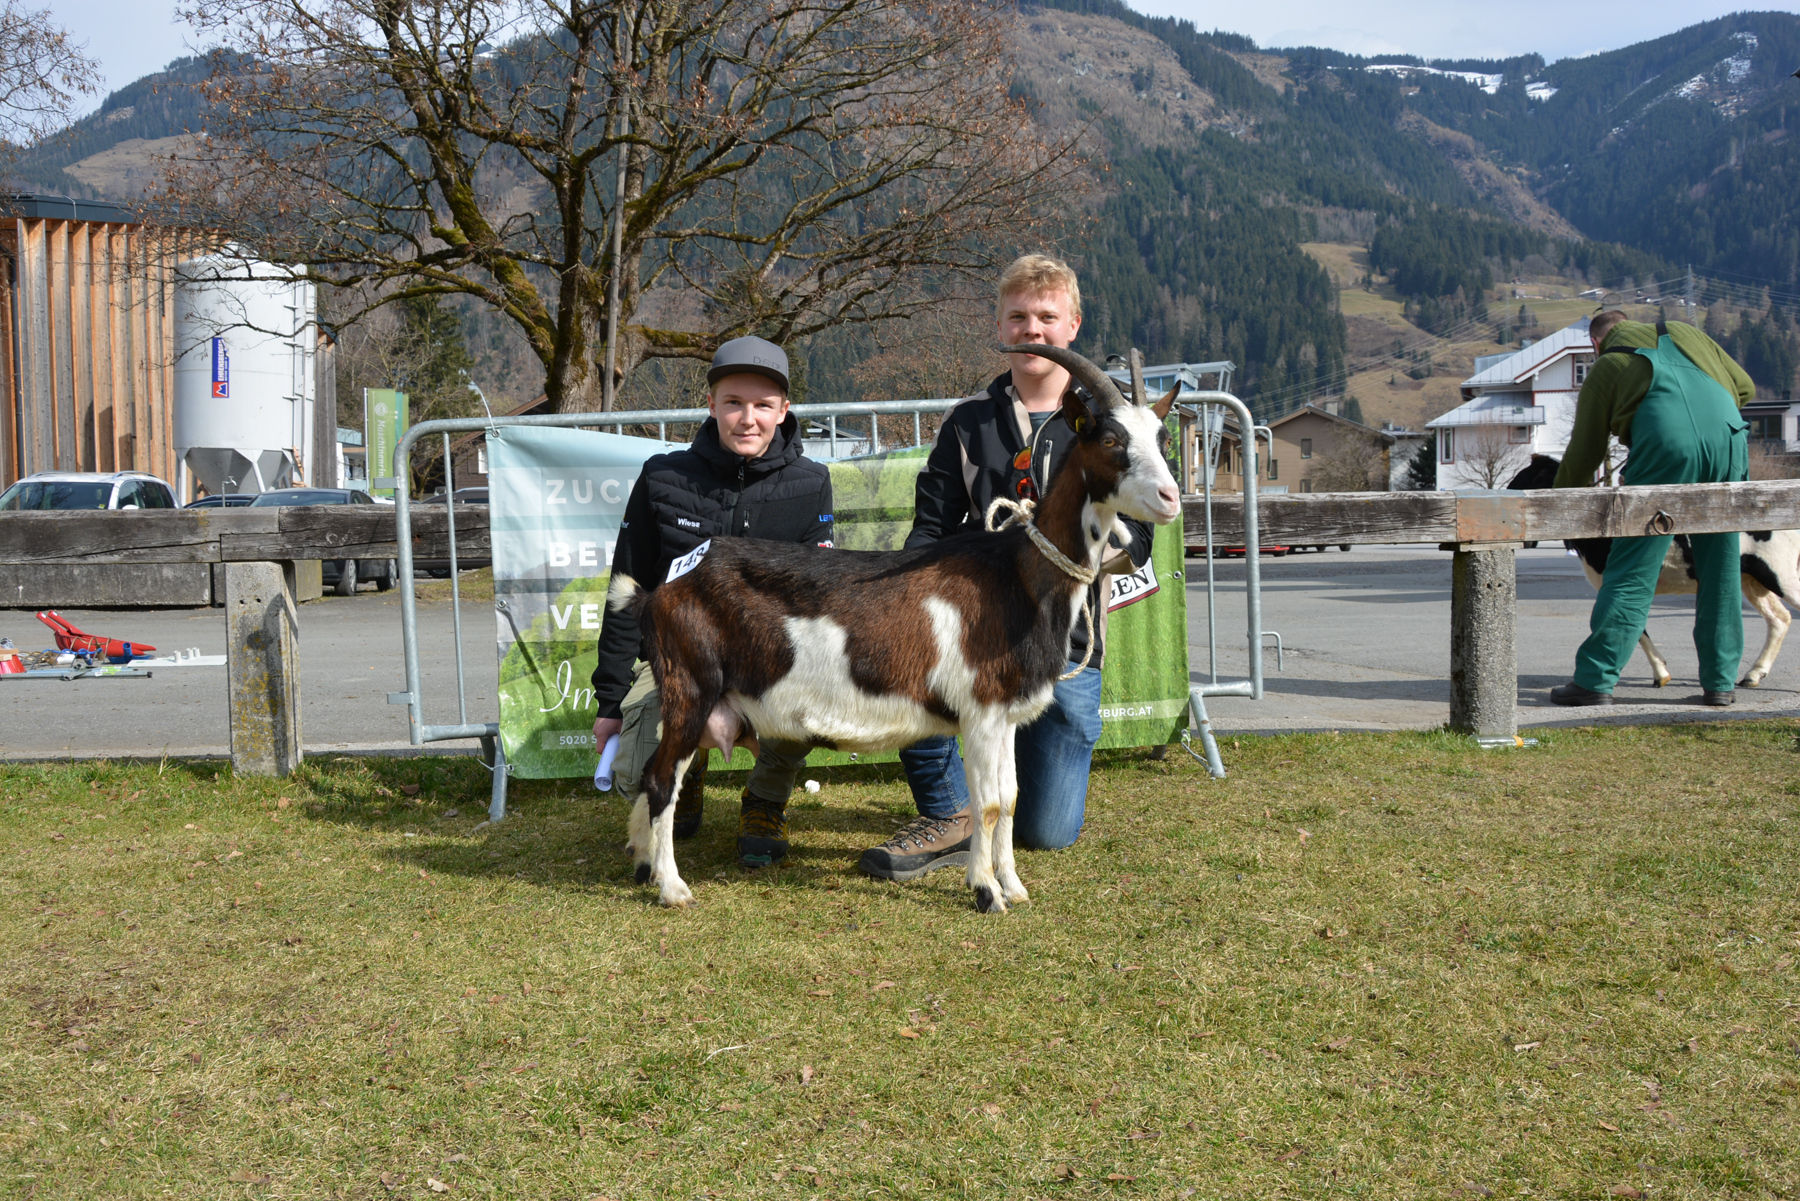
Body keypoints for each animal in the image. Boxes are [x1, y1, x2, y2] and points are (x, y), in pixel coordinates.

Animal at [612, 345, 1188, 911]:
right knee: (661, 779)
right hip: (691, 687)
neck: (1019, 575)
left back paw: (642, 863)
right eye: (1110, 439)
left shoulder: (1004, 716)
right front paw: (986, 891)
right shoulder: (980, 711)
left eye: (1163, 439)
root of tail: (659, 591)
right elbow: (989, 805)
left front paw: (1015, 886)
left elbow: (1010, 798)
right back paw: (672, 887)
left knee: (649, 773)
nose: (1170, 498)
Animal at [1504, 455, 1800, 684]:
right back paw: (1753, 674)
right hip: (1753, 580)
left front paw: (1660, 674)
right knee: (1780, 619)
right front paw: (1661, 673)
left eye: (1524, 479)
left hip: (1780, 576)